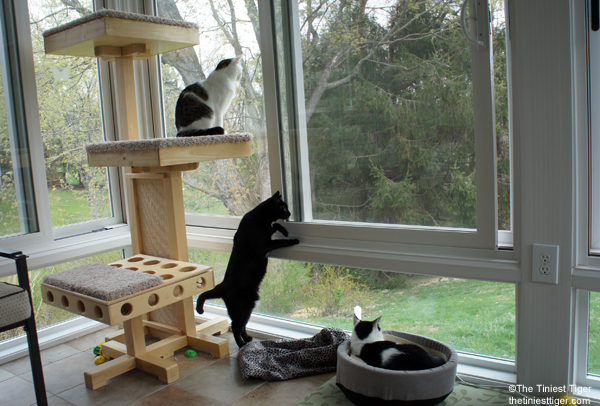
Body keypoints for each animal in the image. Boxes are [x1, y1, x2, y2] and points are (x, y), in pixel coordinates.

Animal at [197, 192, 300, 348]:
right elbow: (279, 241)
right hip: (243, 308)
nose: (289, 213)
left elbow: (275, 224)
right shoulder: (264, 246)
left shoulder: (268, 231)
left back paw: (247, 339)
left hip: (247, 308)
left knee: (242, 326)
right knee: (235, 326)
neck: (261, 219)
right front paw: (292, 240)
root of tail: (222, 286)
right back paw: (241, 345)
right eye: (284, 208)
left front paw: (285, 231)